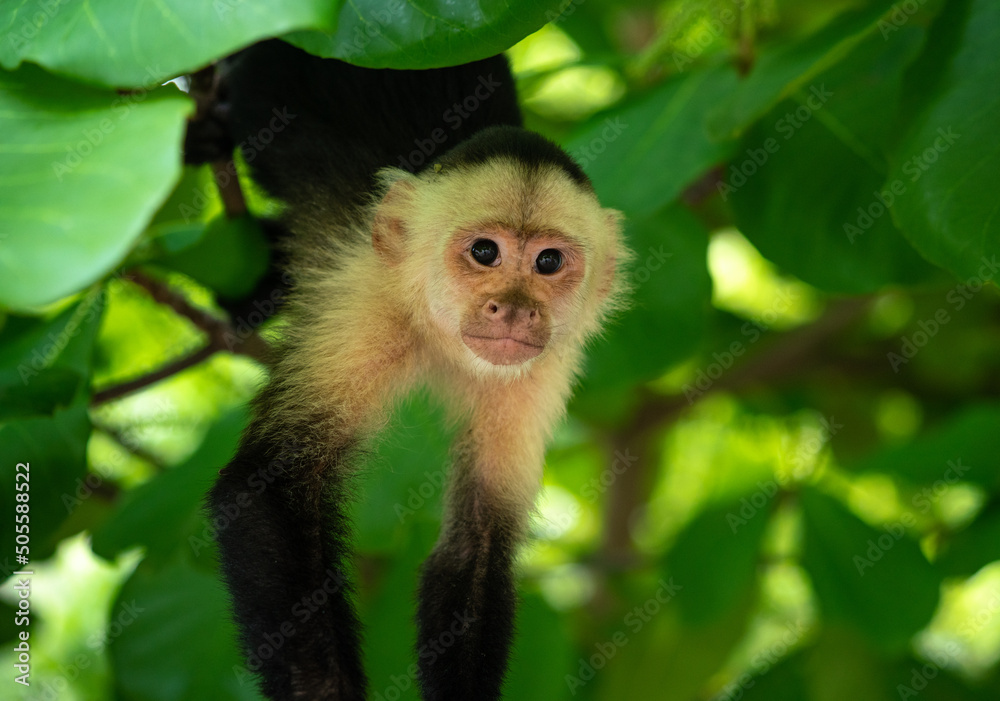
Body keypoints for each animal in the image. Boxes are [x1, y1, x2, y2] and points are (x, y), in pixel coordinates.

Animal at [205, 39, 629, 701]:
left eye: (548, 262)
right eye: (484, 252)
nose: (515, 308)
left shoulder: (544, 365)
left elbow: (477, 542)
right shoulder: (370, 301)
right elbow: (265, 487)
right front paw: (326, 692)